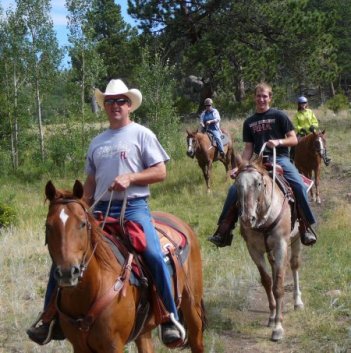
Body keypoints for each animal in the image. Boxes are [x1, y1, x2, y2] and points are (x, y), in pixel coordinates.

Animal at [43, 179, 206, 352]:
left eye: (82, 224)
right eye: (48, 226)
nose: (68, 272)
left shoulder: (113, 345)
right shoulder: (79, 346)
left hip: (192, 308)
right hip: (143, 331)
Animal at [236, 155, 306, 340]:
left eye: (259, 183)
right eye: (237, 184)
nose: (247, 219)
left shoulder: (281, 245)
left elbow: (279, 286)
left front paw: (278, 327)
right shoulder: (253, 249)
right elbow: (267, 282)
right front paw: (272, 316)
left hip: (296, 239)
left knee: (294, 265)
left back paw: (298, 302)